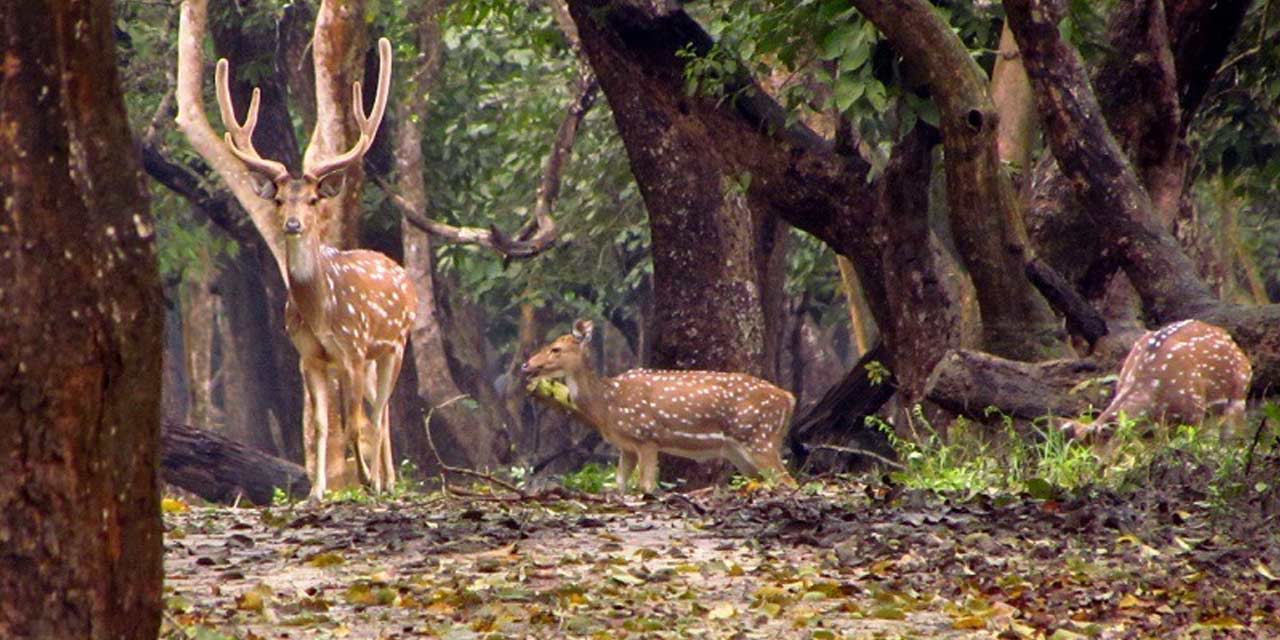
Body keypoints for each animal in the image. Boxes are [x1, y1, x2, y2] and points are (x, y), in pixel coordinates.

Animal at [216, 38, 414, 499]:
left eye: (312, 200)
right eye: (279, 199)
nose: (292, 223)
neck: (322, 311)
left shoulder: (353, 350)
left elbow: (356, 424)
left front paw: (365, 480)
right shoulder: (309, 356)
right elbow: (324, 425)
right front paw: (318, 490)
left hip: (395, 344)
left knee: (379, 412)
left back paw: (384, 481)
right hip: (376, 357)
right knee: (382, 410)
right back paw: (387, 478)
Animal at [517, 318, 793, 488]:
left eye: (556, 349)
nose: (526, 365)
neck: (607, 405)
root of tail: (788, 398)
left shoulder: (646, 437)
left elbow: (646, 485)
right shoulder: (626, 446)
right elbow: (619, 485)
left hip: (760, 436)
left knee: (788, 480)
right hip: (741, 450)